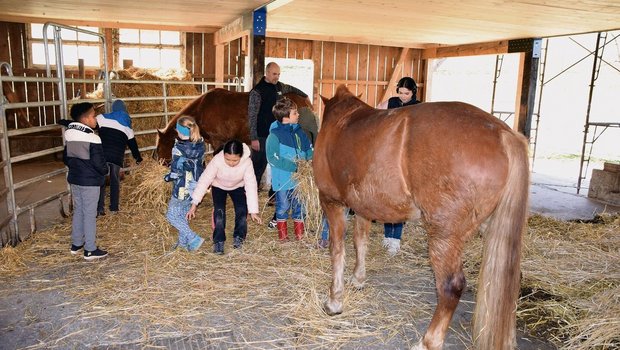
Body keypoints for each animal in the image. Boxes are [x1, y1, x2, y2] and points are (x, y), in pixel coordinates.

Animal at [314, 85, 528, 350]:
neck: (342, 120)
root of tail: (504, 134)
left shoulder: (331, 201)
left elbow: (337, 250)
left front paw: (334, 301)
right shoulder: (363, 207)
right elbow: (360, 242)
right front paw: (358, 279)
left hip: (444, 235)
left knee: (451, 286)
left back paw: (428, 341)